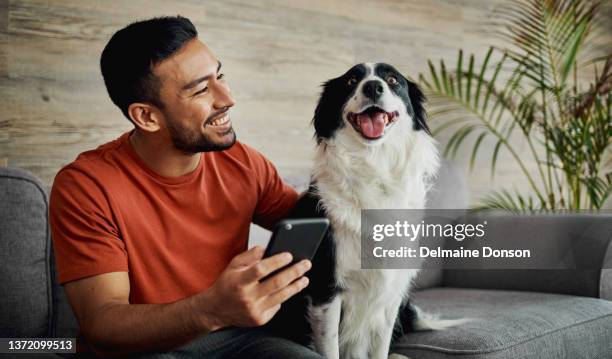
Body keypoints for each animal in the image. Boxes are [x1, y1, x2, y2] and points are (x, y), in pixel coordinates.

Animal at [268, 63, 464, 358]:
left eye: (393, 79)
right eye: (351, 81)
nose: (373, 87)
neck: (374, 165)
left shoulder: (391, 292)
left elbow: (381, 346)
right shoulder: (327, 290)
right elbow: (331, 348)